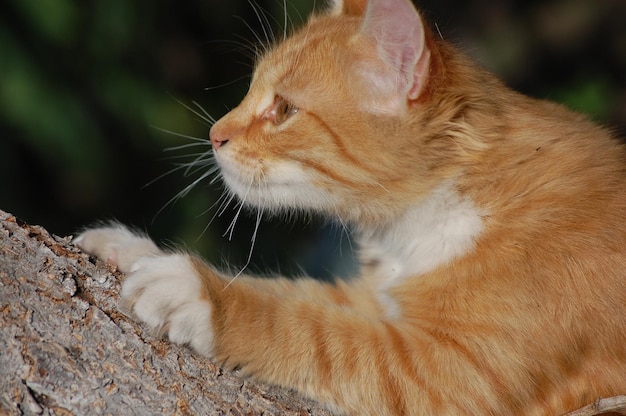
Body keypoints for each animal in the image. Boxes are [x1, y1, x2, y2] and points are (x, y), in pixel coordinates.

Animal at [75, 0, 624, 414]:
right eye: (251, 90)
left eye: (284, 109)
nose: (214, 135)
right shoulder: (370, 298)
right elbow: (291, 292)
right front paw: (130, 248)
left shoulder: (455, 374)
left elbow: (314, 331)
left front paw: (202, 295)